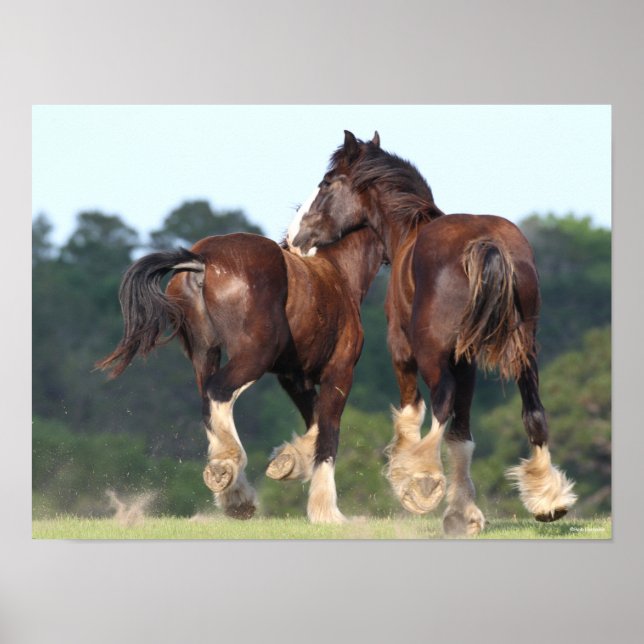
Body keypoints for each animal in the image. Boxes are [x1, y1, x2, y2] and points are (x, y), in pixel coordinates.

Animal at [97, 226, 384, 523]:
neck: (337, 274)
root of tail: (202, 261)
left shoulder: (295, 377)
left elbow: (315, 422)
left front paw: (288, 461)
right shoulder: (339, 374)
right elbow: (328, 431)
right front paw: (326, 512)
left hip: (206, 353)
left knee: (207, 401)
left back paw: (235, 495)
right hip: (255, 356)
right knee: (219, 391)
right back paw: (227, 470)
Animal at [289, 130, 577, 536]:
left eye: (327, 183)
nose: (294, 236)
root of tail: (487, 245)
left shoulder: (401, 350)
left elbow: (413, 411)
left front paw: (412, 475)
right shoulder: (467, 361)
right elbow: (462, 436)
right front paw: (465, 512)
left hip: (431, 355)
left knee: (441, 404)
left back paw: (421, 480)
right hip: (525, 353)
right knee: (533, 413)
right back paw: (548, 500)